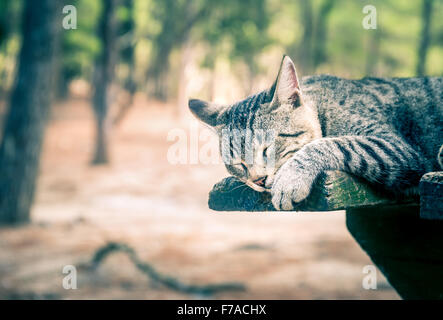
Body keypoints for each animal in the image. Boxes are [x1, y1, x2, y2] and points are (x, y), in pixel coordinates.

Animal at [189, 55, 442, 210]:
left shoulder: (398, 147)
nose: (258, 180)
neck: (321, 104)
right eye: (238, 163)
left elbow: (335, 143)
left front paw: (290, 178)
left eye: (267, 149)